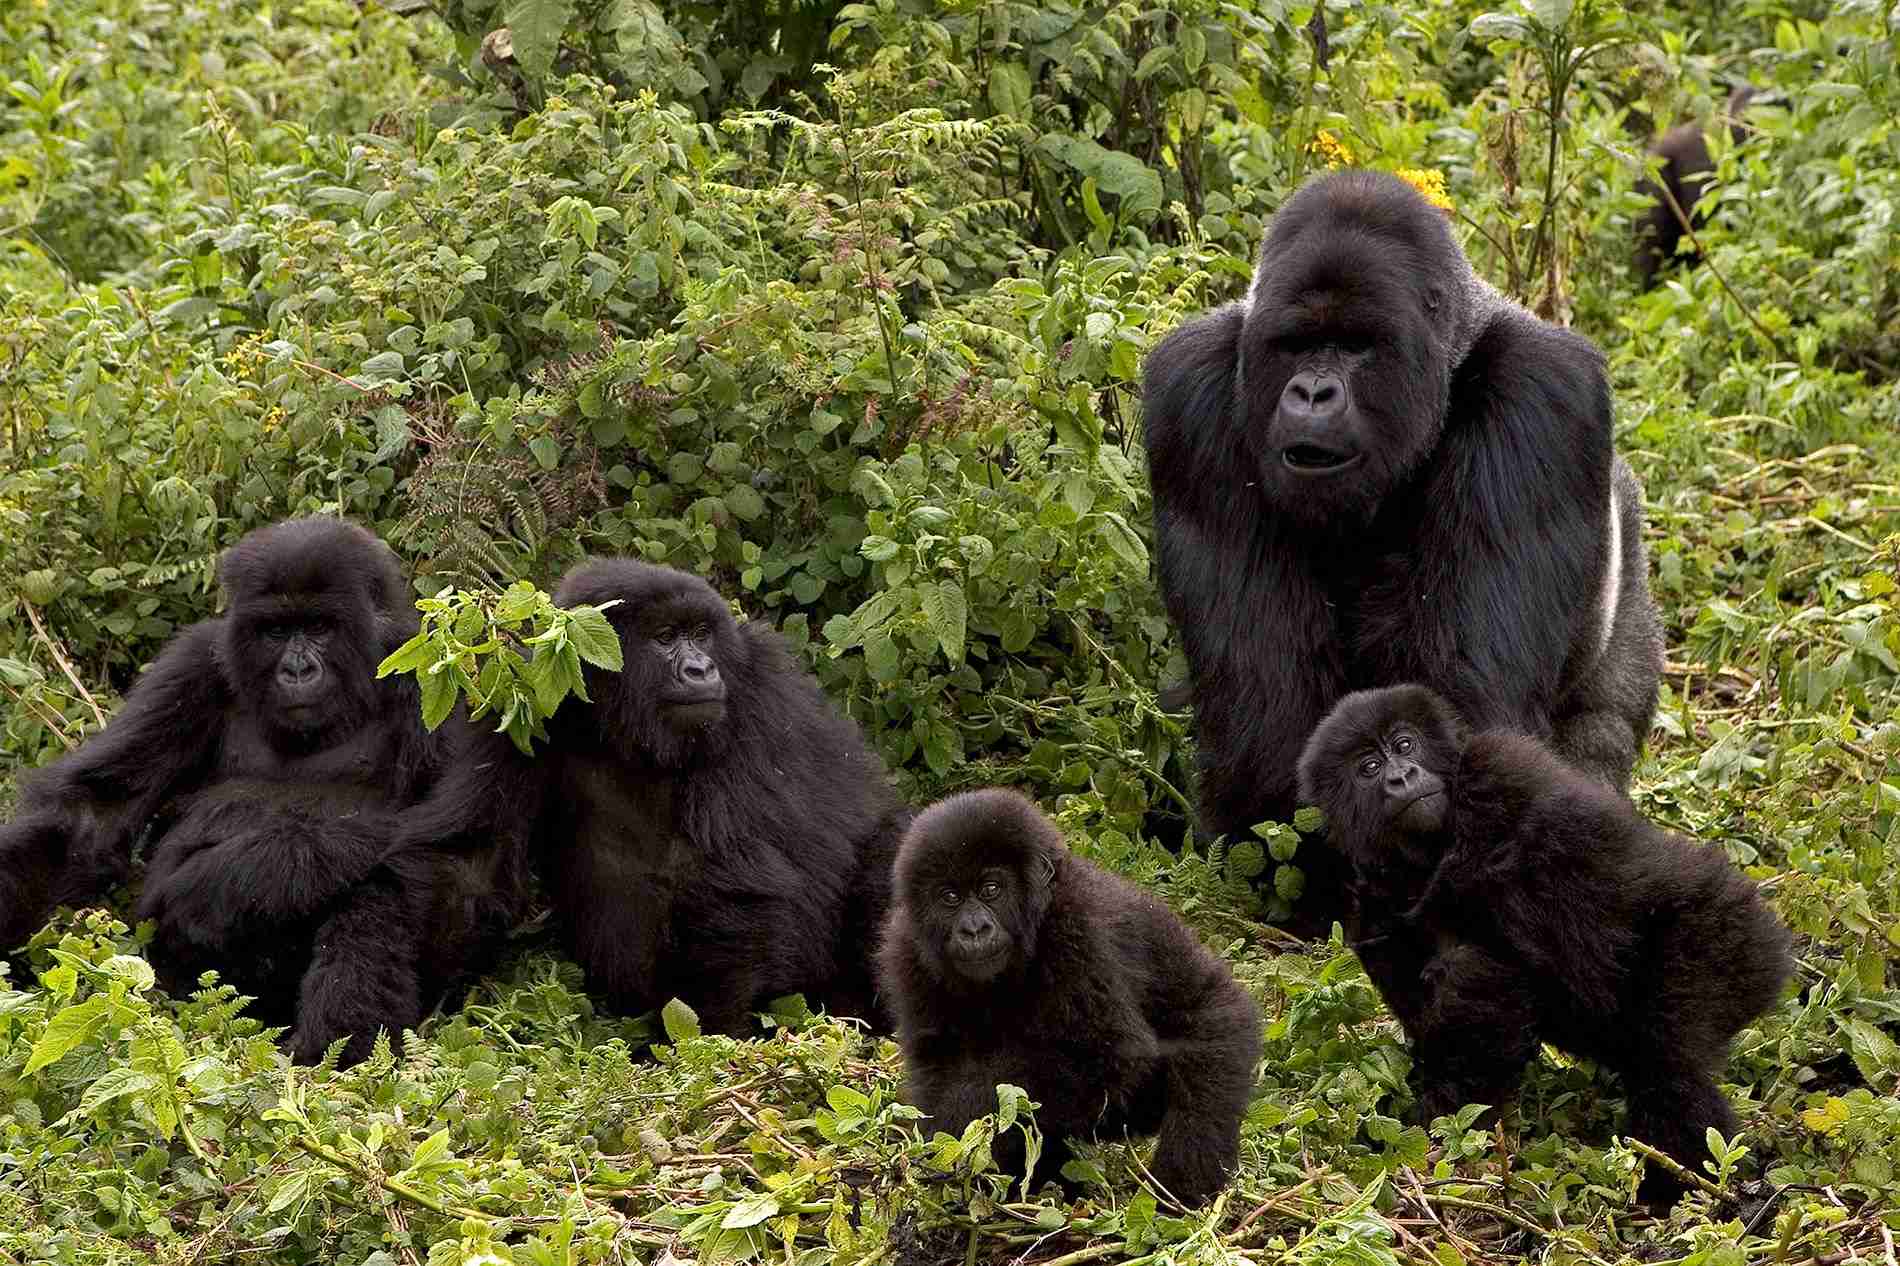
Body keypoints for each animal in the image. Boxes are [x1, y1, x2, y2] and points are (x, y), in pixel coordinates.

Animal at [0, 517, 520, 1056]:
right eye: (275, 631)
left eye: (319, 627)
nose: (297, 669)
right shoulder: (190, 668)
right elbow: (91, 816)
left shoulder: (438, 678)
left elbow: (462, 859)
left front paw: (227, 881)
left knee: (384, 884)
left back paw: (334, 1054)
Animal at [404, 558, 908, 1034]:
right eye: (665, 638)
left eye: (701, 635)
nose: (701, 669)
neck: (614, 726)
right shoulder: (520, 703)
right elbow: (472, 863)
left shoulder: (758, 690)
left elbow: (737, 880)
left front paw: (706, 1035)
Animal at [874, 790, 1261, 1201]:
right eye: (949, 897)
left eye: (991, 890)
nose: (974, 929)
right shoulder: (907, 949)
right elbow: (937, 1065)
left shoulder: (1078, 926)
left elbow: (1106, 1058)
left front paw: (956, 1128)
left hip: (1222, 1018)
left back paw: (1181, 1186)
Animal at [1140, 167, 1664, 931]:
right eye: (1295, 345)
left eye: (1359, 346)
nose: (1313, 392)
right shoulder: (1191, 395)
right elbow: (1265, 705)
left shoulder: (1538, 396)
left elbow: (1461, 701)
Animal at [1299, 684, 1786, 1201]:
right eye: (1369, 767)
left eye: (1405, 744)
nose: (1401, 776)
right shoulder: (1368, 897)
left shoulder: (1502, 773)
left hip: (1729, 940)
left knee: (1672, 1059)